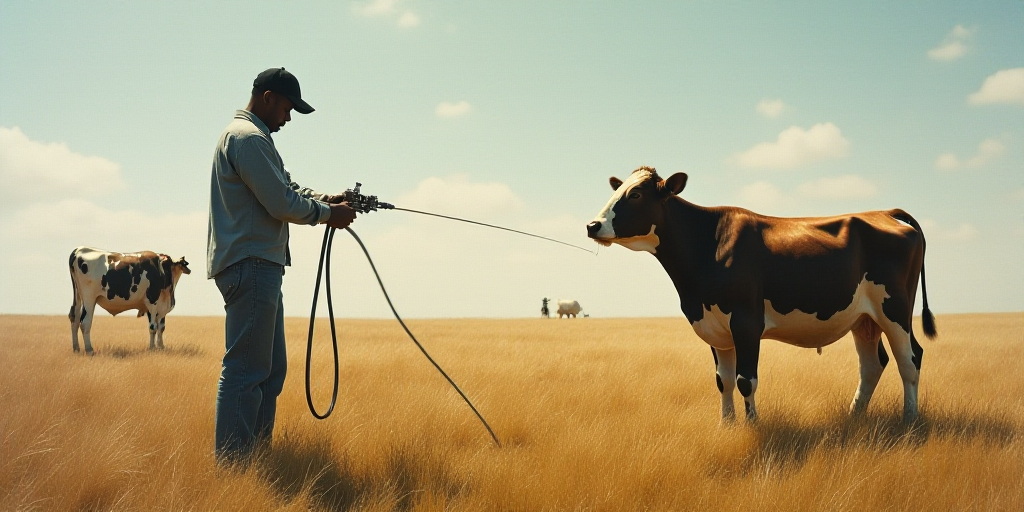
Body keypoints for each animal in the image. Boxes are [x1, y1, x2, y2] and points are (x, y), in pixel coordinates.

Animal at [587, 167, 936, 423]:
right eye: (616, 190)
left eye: (635, 194)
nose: (592, 225)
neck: (707, 244)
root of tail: (884, 212)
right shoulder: (715, 325)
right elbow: (723, 380)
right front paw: (726, 426)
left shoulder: (746, 321)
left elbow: (745, 380)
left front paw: (753, 426)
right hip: (863, 318)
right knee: (872, 364)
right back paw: (853, 417)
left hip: (896, 310)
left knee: (910, 358)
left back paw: (909, 419)